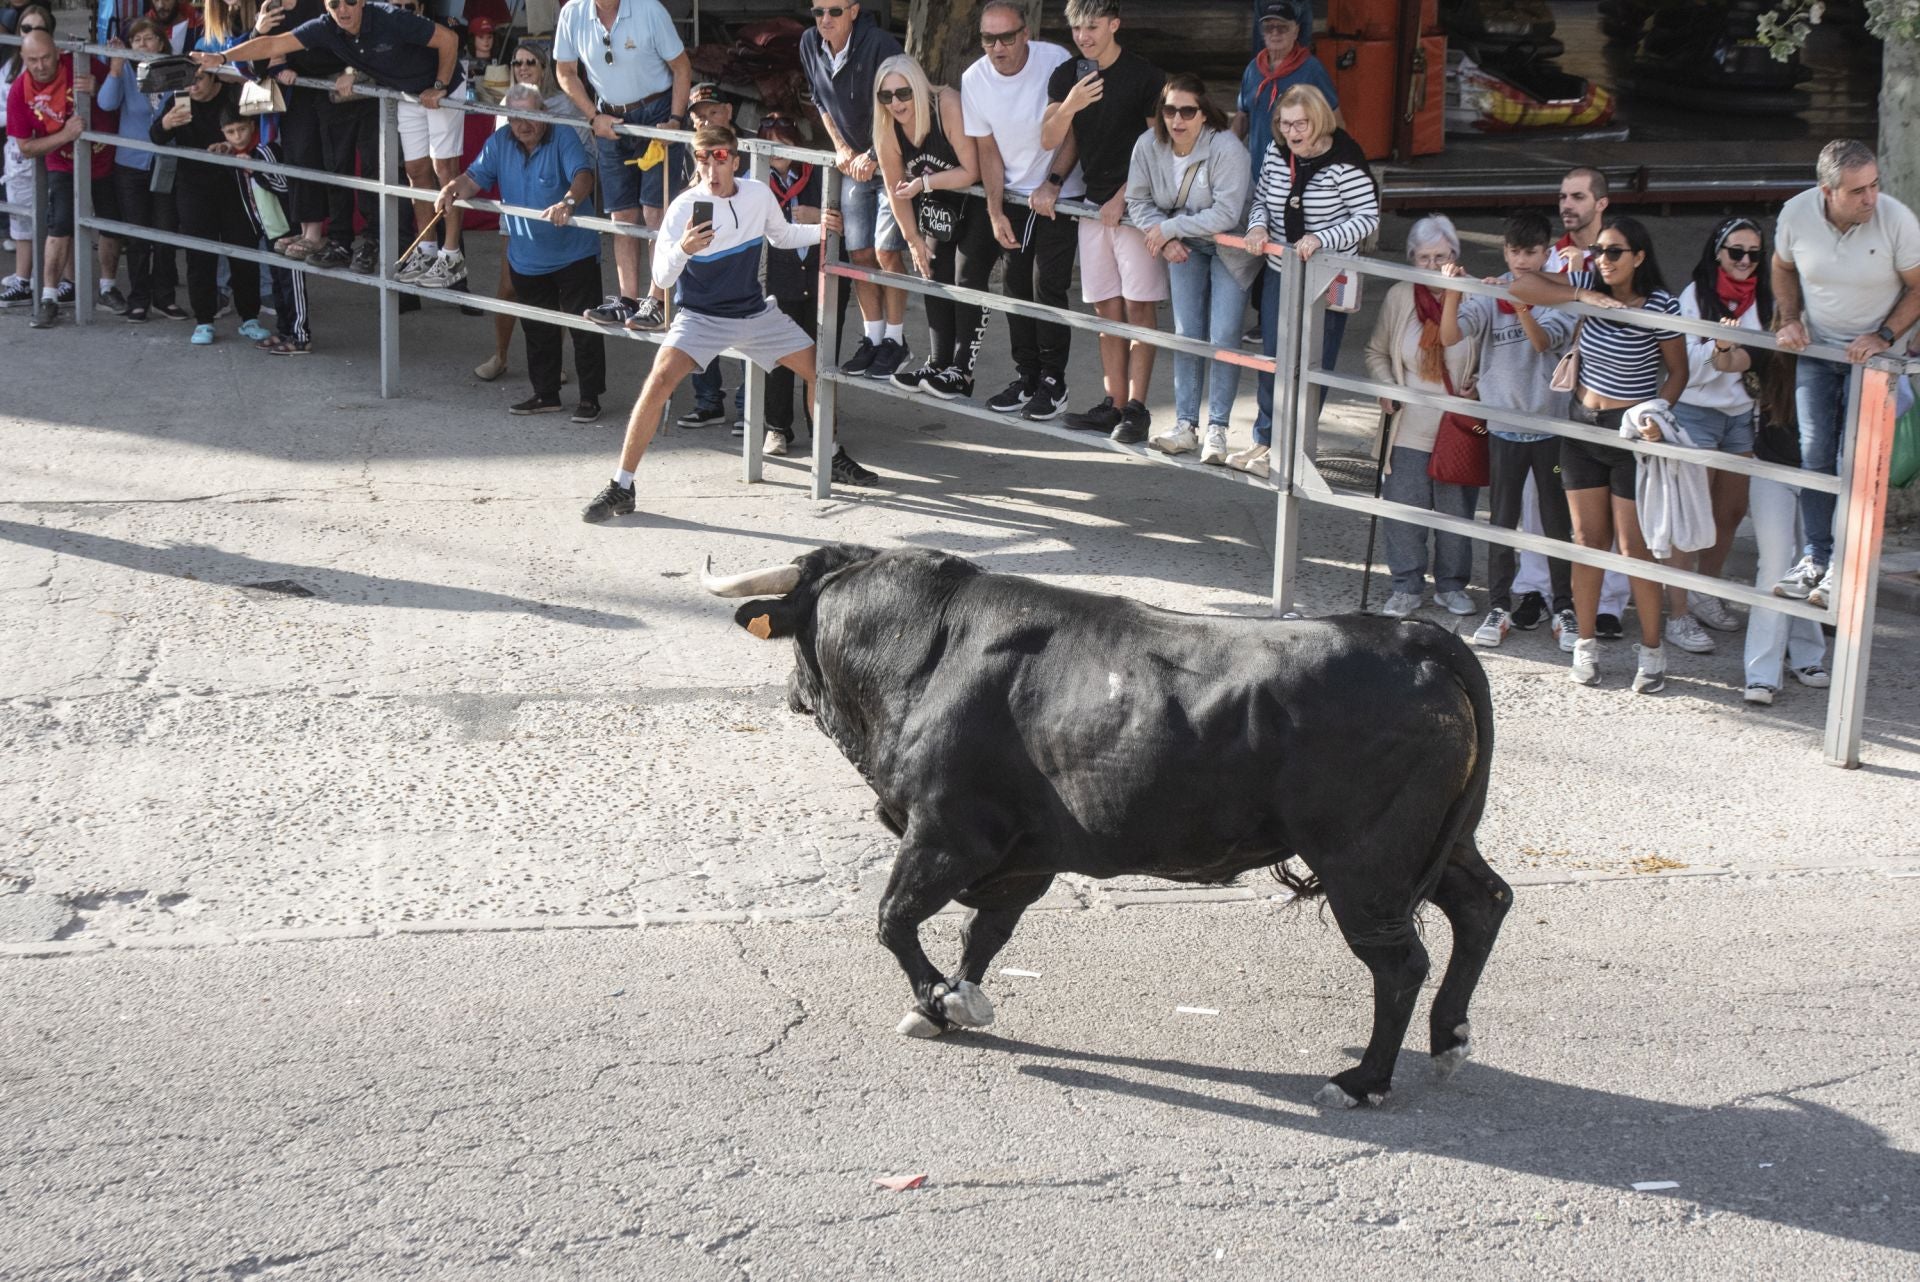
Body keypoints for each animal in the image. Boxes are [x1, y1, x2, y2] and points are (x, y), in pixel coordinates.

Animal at [706, 545, 1512, 1105]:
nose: (789, 693)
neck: (928, 646)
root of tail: (1415, 639)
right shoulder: (1023, 856)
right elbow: (983, 933)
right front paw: (952, 1002)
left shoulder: (946, 833)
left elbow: (893, 919)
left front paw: (937, 1000)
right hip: (1436, 845)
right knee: (1483, 903)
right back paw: (1450, 1037)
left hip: (1365, 862)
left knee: (1400, 963)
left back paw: (1363, 1080)